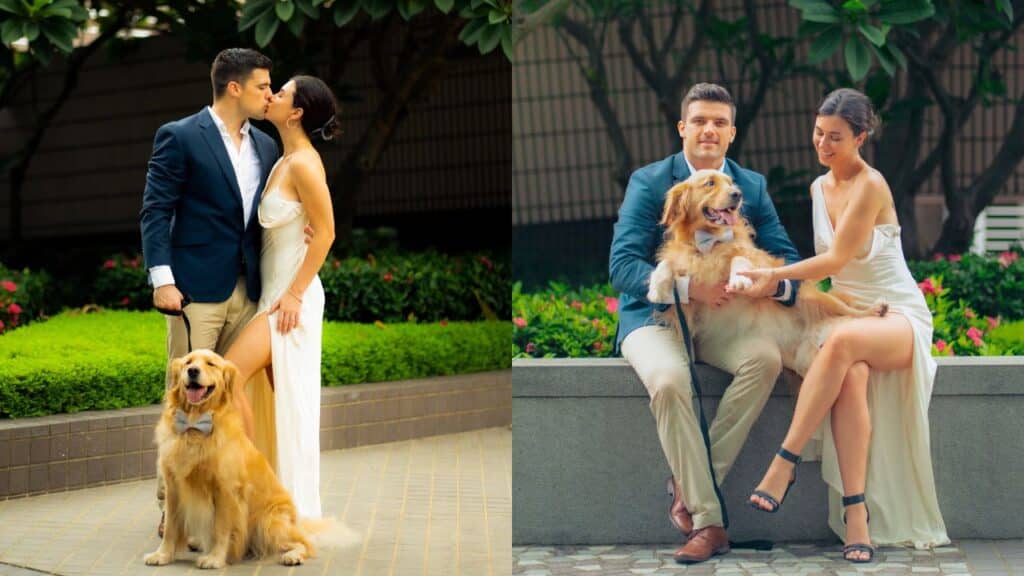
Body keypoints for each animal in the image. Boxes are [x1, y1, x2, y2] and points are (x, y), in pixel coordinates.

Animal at [143, 348, 311, 565]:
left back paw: (293, 555)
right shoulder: (173, 486)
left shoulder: (225, 489)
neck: (195, 424)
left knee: (305, 543)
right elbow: (171, 527)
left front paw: (215, 558)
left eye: (210, 363)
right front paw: (162, 555)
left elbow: (221, 528)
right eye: (188, 362)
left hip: (268, 522)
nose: (193, 371)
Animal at [647, 169, 880, 377]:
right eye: (710, 183)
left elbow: (740, 257)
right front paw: (657, 287)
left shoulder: (759, 259)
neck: (708, 242)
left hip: (814, 299)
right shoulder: (689, 310)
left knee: (850, 310)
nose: (737, 194)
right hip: (799, 359)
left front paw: (739, 278)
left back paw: (877, 309)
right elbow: (667, 264)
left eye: (730, 182)